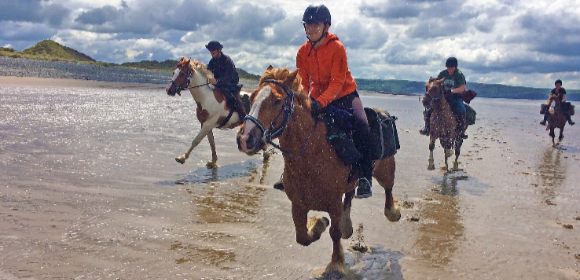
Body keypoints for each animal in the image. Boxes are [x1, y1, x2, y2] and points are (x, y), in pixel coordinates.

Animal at [234, 66, 398, 278]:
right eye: (252, 97)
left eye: (277, 101)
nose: (244, 138)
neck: (312, 152)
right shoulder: (297, 204)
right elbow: (302, 236)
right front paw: (319, 223)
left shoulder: (334, 202)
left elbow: (334, 233)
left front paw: (336, 265)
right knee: (350, 196)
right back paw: (347, 225)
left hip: (385, 170)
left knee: (388, 189)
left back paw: (392, 212)